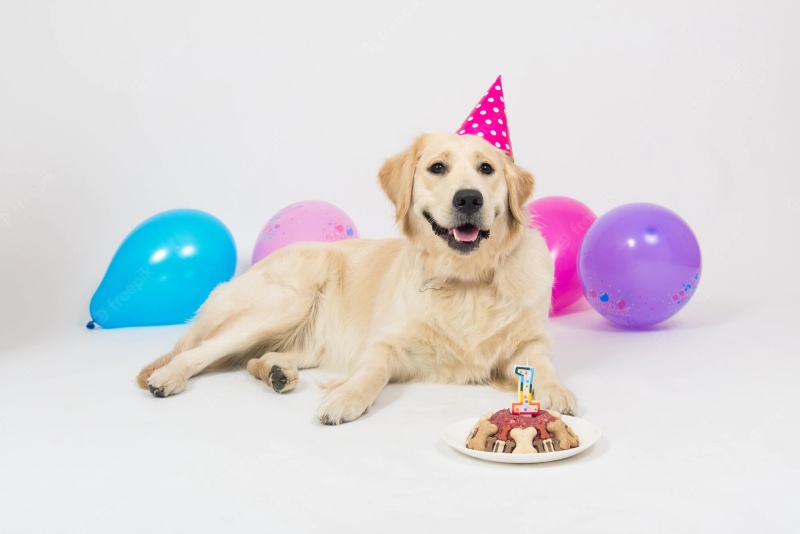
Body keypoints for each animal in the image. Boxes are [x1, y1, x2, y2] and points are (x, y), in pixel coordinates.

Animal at [136, 132, 576, 426]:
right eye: (437, 168)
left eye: (487, 169)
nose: (469, 197)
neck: (465, 281)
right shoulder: (385, 342)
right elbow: (372, 372)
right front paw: (346, 398)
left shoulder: (531, 341)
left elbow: (540, 364)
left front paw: (555, 390)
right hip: (287, 301)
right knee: (199, 350)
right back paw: (168, 377)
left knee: (253, 359)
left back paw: (278, 373)